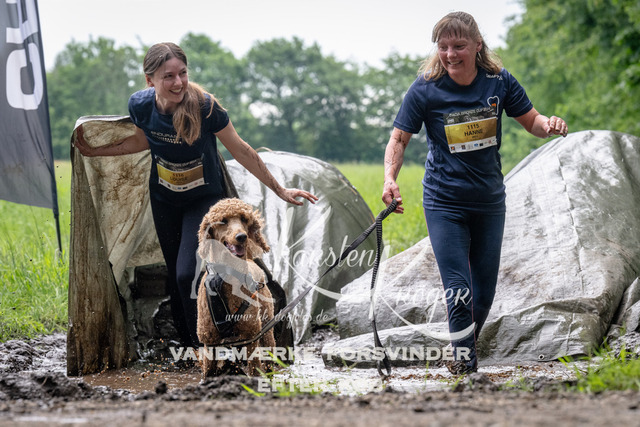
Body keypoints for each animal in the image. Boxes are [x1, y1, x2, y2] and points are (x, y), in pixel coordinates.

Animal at [196, 198, 276, 376]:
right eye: (223, 221)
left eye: (244, 219)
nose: (242, 237)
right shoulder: (209, 342)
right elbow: (208, 374)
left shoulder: (251, 337)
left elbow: (255, 370)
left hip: (266, 329)